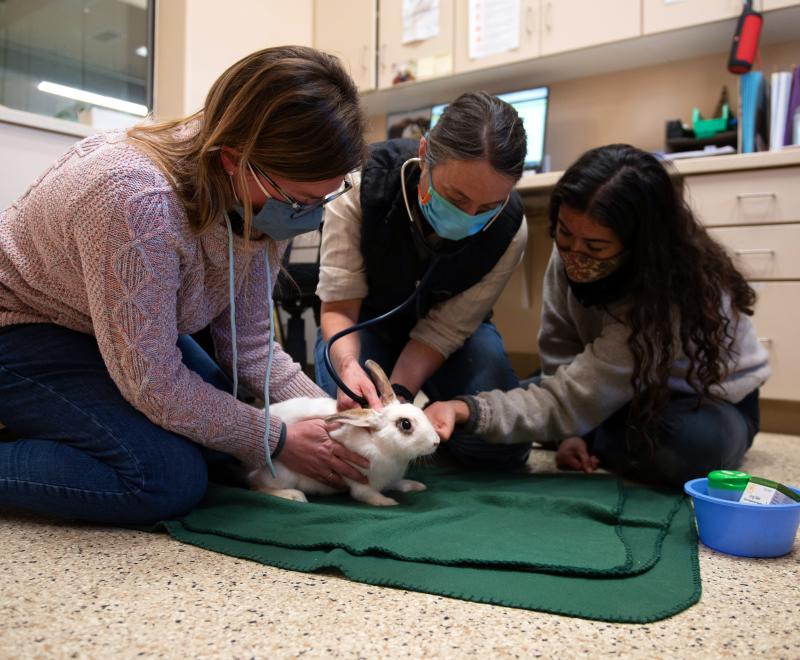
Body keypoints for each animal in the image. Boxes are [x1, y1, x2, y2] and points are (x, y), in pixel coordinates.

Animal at [247, 360, 440, 506]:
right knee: (256, 486)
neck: (381, 446)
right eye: (405, 424)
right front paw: (389, 502)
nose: (436, 442)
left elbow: (399, 484)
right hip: (281, 474)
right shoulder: (359, 481)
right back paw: (293, 495)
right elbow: (367, 495)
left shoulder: (391, 479)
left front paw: (416, 486)